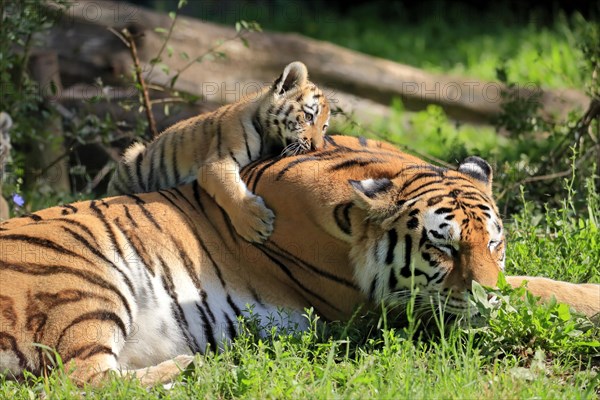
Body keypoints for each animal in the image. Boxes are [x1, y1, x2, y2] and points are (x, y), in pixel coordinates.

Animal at [0, 136, 596, 386]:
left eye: (494, 242)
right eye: (442, 246)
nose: (484, 295)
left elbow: (530, 282)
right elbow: (536, 288)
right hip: (82, 280)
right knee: (78, 381)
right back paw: (201, 366)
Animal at [106, 61, 328, 244]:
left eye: (324, 127)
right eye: (308, 117)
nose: (318, 147)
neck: (269, 138)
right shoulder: (217, 161)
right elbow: (229, 188)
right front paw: (255, 222)